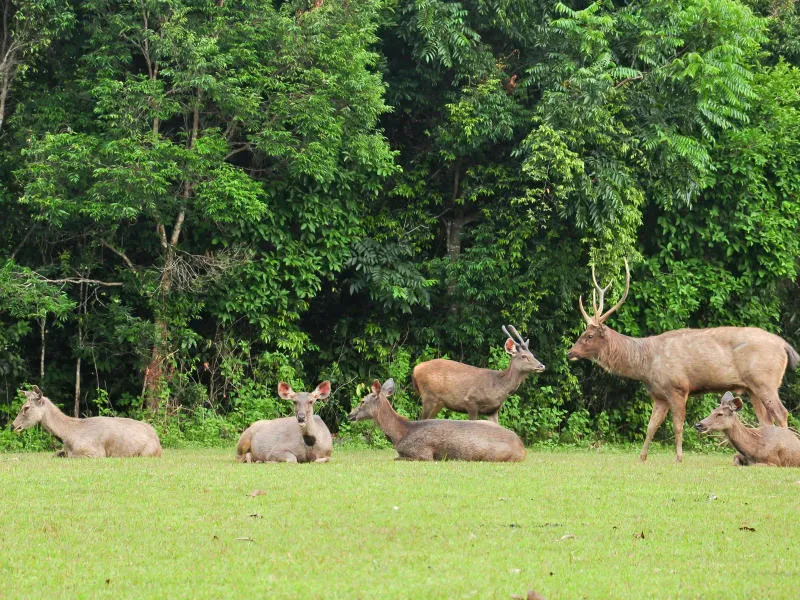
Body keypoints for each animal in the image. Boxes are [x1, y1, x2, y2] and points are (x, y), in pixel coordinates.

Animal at [11, 386, 162, 458]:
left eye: (26, 407)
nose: (13, 426)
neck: (67, 435)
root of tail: (158, 442)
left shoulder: (96, 453)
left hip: (147, 452)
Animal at [348, 378, 524, 462]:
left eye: (362, 401)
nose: (350, 415)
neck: (401, 434)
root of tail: (522, 448)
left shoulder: (423, 454)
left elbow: (396, 458)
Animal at [412, 324, 544, 422]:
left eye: (533, 355)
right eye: (524, 356)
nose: (541, 366)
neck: (498, 386)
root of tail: (416, 369)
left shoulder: (493, 410)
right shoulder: (470, 401)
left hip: (438, 402)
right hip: (429, 396)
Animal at [564, 260, 796, 462]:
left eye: (589, 336)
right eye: (583, 332)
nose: (570, 352)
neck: (645, 364)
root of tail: (784, 346)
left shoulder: (678, 388)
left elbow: (678, 425)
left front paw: (678, 457)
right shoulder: (659, 396)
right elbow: (651, 426)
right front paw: (641, 457)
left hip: (765, 380)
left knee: (781, 412)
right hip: (752, 387)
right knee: (766, 419)